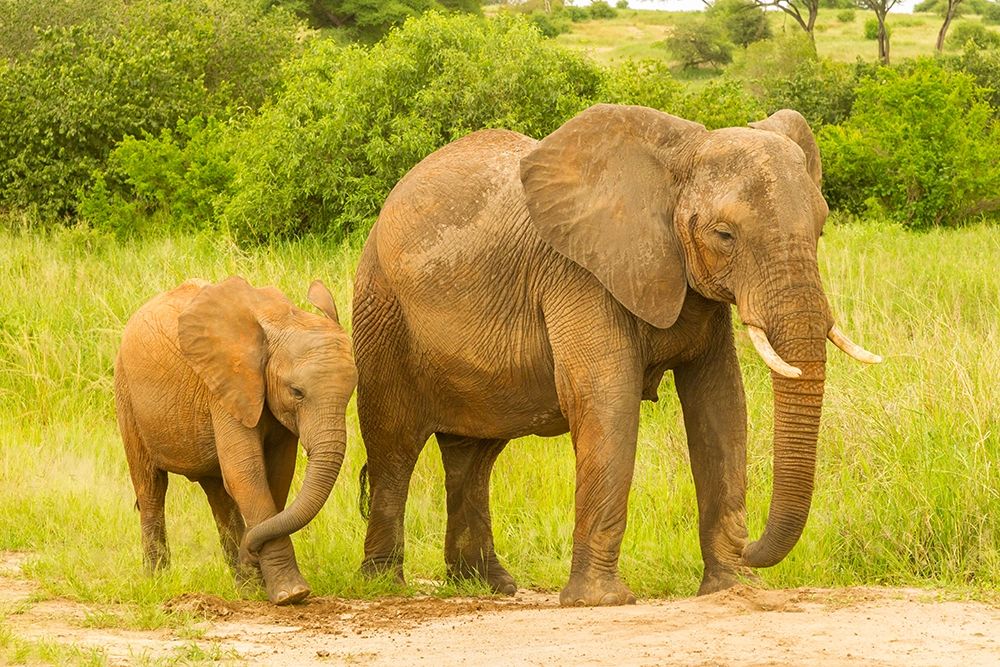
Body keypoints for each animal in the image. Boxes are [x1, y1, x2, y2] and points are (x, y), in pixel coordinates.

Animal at [114, 276, 357, 605]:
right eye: (297, 392)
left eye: (351, 392)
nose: (250, 555)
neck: (281, 320)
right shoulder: (226, 387)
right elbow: (247, 475)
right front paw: (291, 594)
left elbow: (276, 477)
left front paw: (262, 583)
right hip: (126, 392)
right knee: (151, 486)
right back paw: (157, 583)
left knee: (218, 494)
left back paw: (244, 587)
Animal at [351, 103, 882, 606]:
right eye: (724, 235)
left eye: (820, 230)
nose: (748, 546)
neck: (678, 156)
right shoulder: (577, 274)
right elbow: (609, 402)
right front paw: (601, 600)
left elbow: (722, 407)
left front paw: (731, 587)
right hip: (381, 311)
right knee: (393, 447)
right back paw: (383, 584)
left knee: (473, 456)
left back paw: (488, 585)